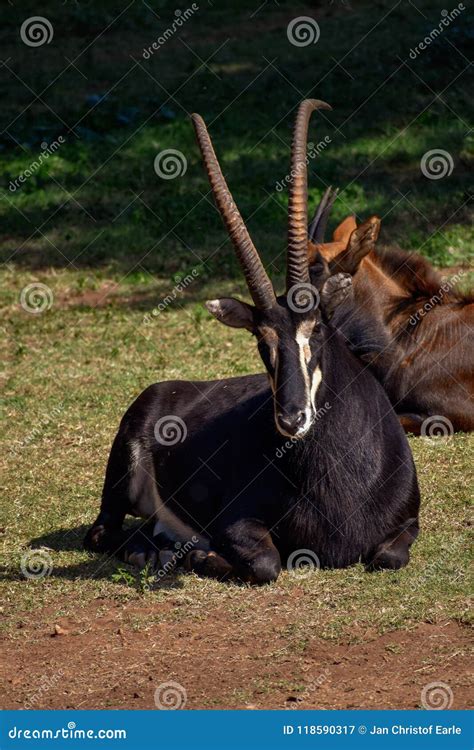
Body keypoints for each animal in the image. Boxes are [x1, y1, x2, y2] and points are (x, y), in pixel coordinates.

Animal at [84, 100, 418, 584]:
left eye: (317, 326)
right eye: (261, 340)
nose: (292, 418)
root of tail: (164, 389)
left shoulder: (408, 522)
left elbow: (389, 556)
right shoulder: (236, 522)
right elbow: (266, 563)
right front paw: (200, 557)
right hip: (121, 482)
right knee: (102, 533)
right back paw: (154, 554)